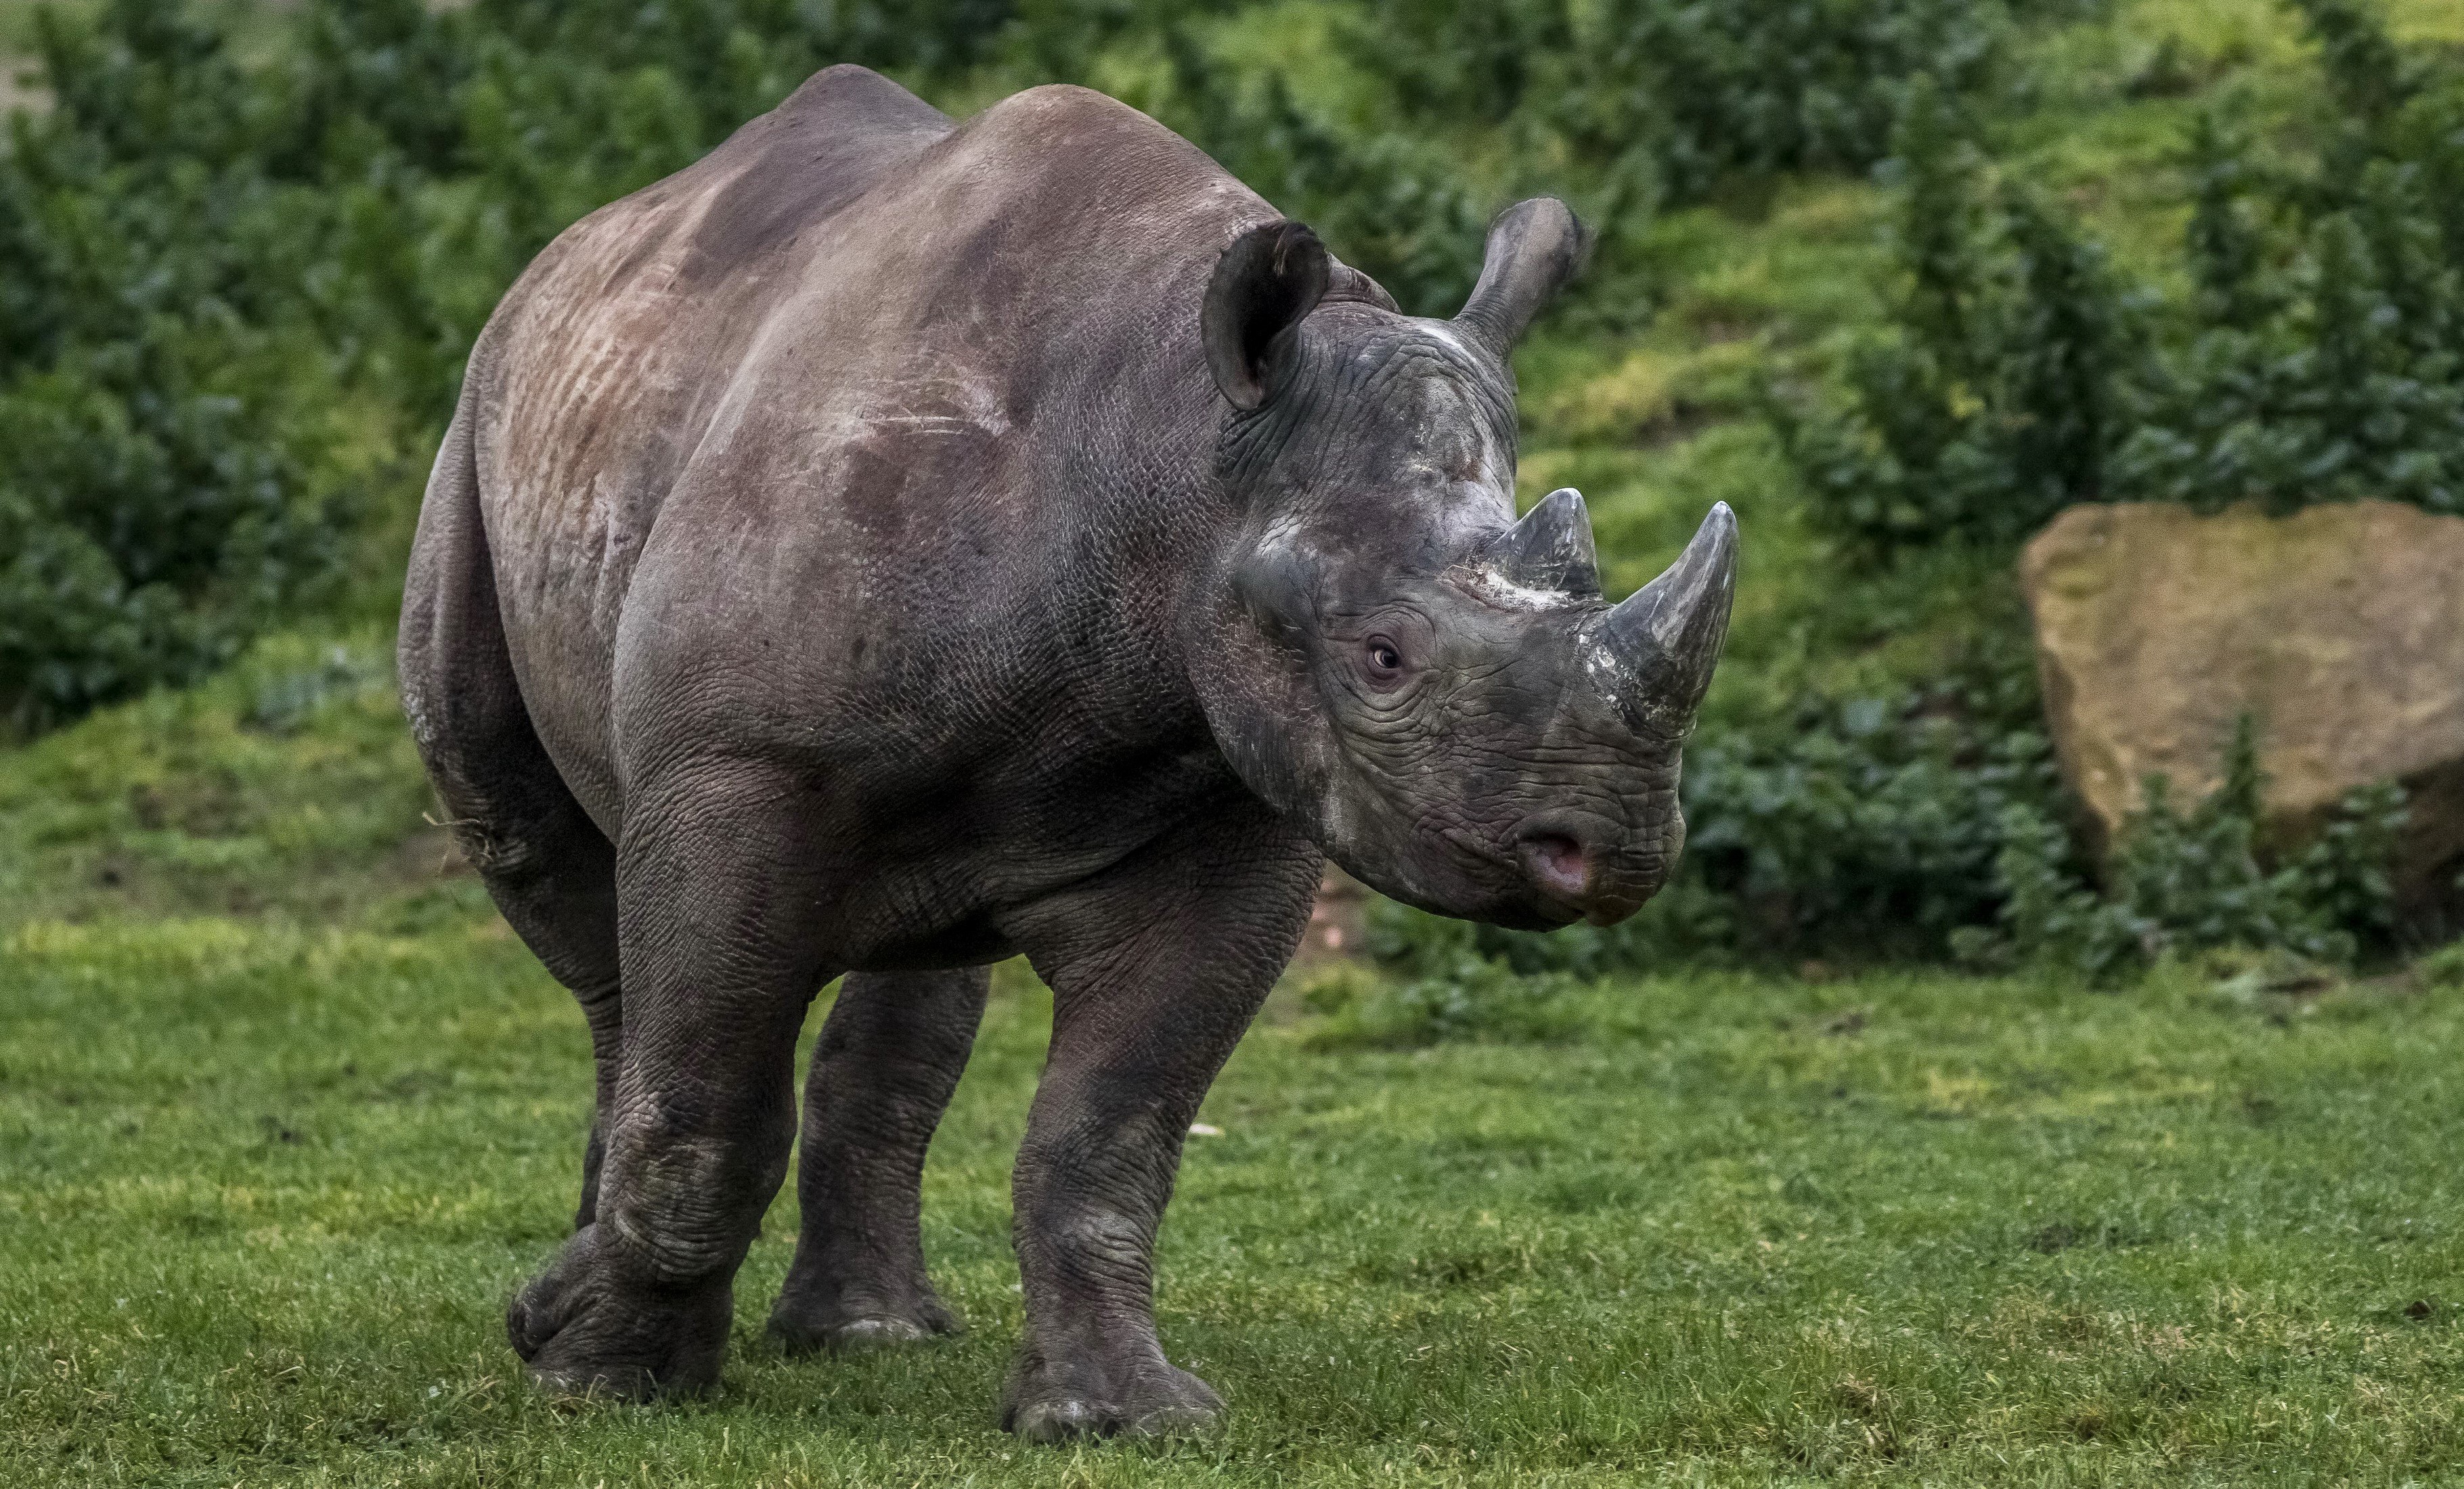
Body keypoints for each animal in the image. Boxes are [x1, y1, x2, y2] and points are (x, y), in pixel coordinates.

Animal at [398, 64, 1735, 1440]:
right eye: (1383, 659)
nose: (1610, 847)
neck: (1168, 451)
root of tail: (566, 255)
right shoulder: (736, 767)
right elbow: (704, 1113)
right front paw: (598, 1381)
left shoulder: (1235, 792)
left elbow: (1111, 1134)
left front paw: (1120, 1416)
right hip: (479, 435)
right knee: (566, 898)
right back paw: (578, 1303)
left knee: (911, 958)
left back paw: (866, 1335)